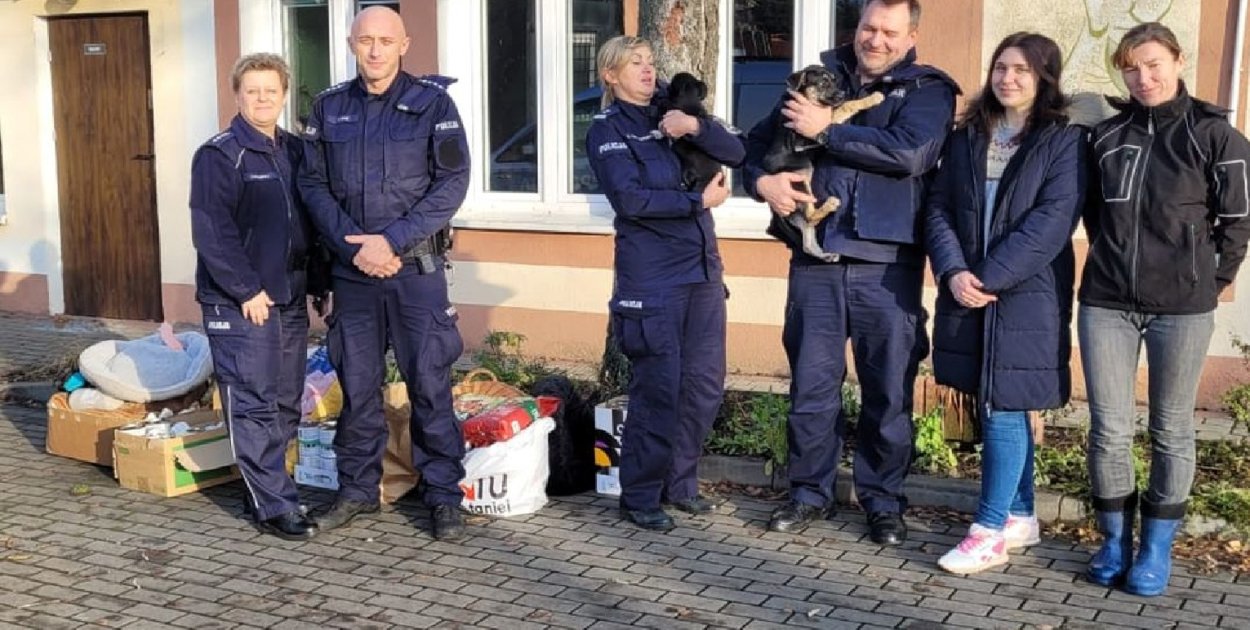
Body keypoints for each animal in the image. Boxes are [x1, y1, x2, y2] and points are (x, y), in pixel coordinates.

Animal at [763, 65, 884, 261]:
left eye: (835, 81)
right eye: (823, 83)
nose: (842, 94)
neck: (806, 98)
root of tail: (775, 211)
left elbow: (839, 108)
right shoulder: (805, 137)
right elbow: (844, 107)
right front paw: (872, 98)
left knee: (807, 239)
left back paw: (826, 255)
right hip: (799, 178)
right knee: (811, 216)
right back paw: (831, 203)